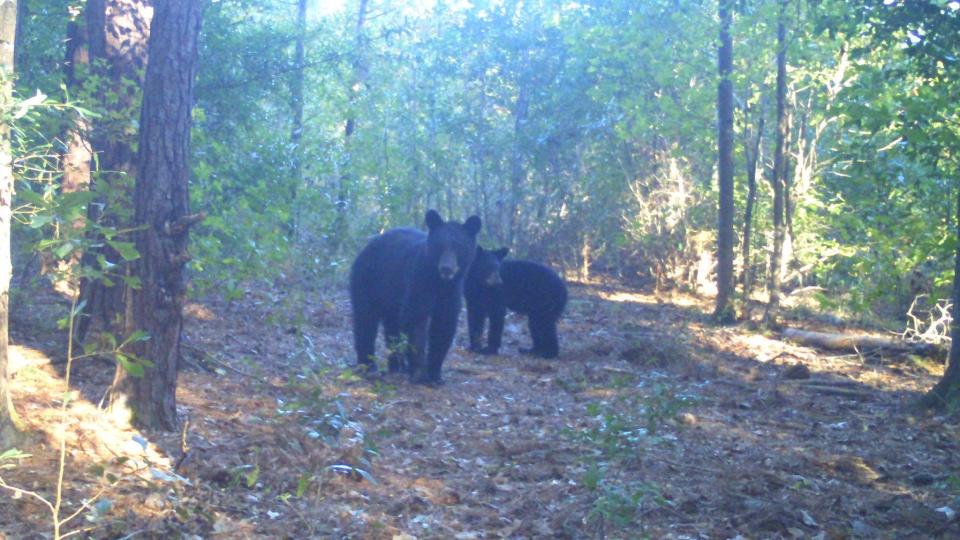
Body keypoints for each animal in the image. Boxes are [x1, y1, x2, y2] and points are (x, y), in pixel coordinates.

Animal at [348, 210, 480, 384]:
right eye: (440, 245)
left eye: (459, 246)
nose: (446, 268)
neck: (439, 282)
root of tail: (366, 247)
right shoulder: (418, 281)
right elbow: (416, 319)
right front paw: (420, 374)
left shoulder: (452, 292)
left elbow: (444, 325)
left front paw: (435, 375)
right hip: (367, 283)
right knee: (365, 320)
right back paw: (368, 365)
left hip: (391, 297)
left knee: (392, 327)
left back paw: (397, 366)